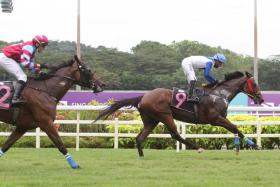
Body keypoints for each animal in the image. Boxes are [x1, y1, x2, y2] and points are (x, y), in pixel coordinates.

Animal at [95, 71, 264, 156]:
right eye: (255, 84)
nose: (261, 99)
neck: (219, 94)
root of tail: (143, 96)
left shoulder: (220, 119)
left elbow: (235, 129)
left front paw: (249, 146)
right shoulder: (215, 119)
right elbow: (235, 128)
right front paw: (250, 145)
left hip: (151, 120)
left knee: (140, 138)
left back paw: (142, 156)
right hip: (165, 115)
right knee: (175, 134)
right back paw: (198, 148)